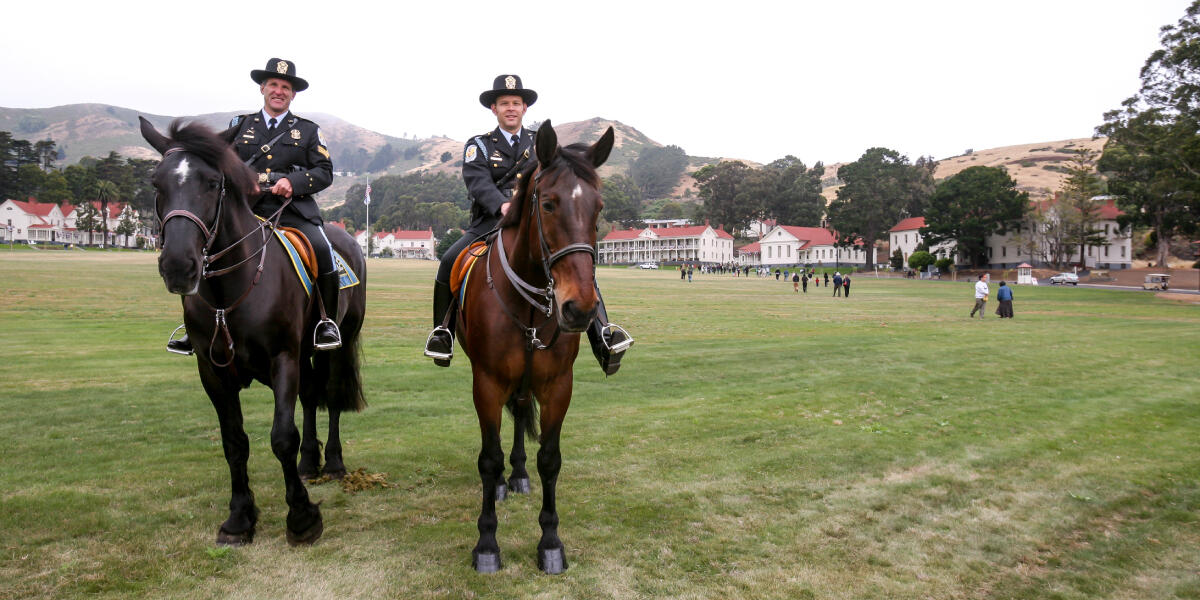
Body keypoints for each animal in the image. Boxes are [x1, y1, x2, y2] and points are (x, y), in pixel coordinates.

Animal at [139, 115, 364, 544]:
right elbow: (234, 441)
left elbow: (282, 437)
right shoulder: (213, 372)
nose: (178, 266)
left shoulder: (282, 359)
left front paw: (302, 517)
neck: (229, 294)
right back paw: (310, 462)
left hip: (336, 344)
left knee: (330, 397)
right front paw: (240, 518)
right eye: (157, 183)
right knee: (311, 395)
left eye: (213, 182)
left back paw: (333, 462)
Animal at [456, 119, 614, 573]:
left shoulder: (557, 384)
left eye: (598, 209)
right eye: (547, 204)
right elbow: (488, 459)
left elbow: (550, 458)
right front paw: (487, 544)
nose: (579, 308)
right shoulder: (487, 383)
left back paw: (519, 474)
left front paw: (550, 541)